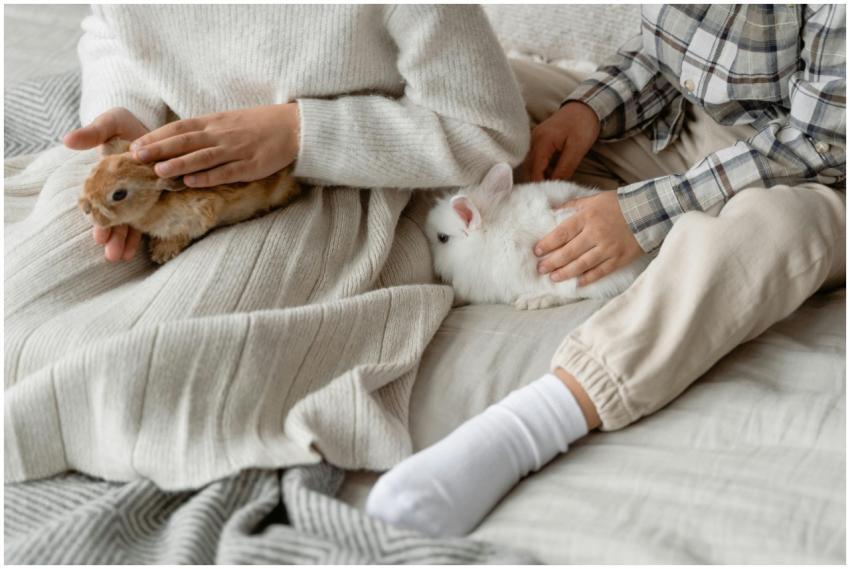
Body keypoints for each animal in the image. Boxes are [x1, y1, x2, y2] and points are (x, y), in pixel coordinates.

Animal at [78, 138, 301, 264]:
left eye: (119, 194)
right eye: (95, 171)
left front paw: (161, 253)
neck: (154, 202)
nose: (85, 208)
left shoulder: (196, 216)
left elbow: (179, 236)